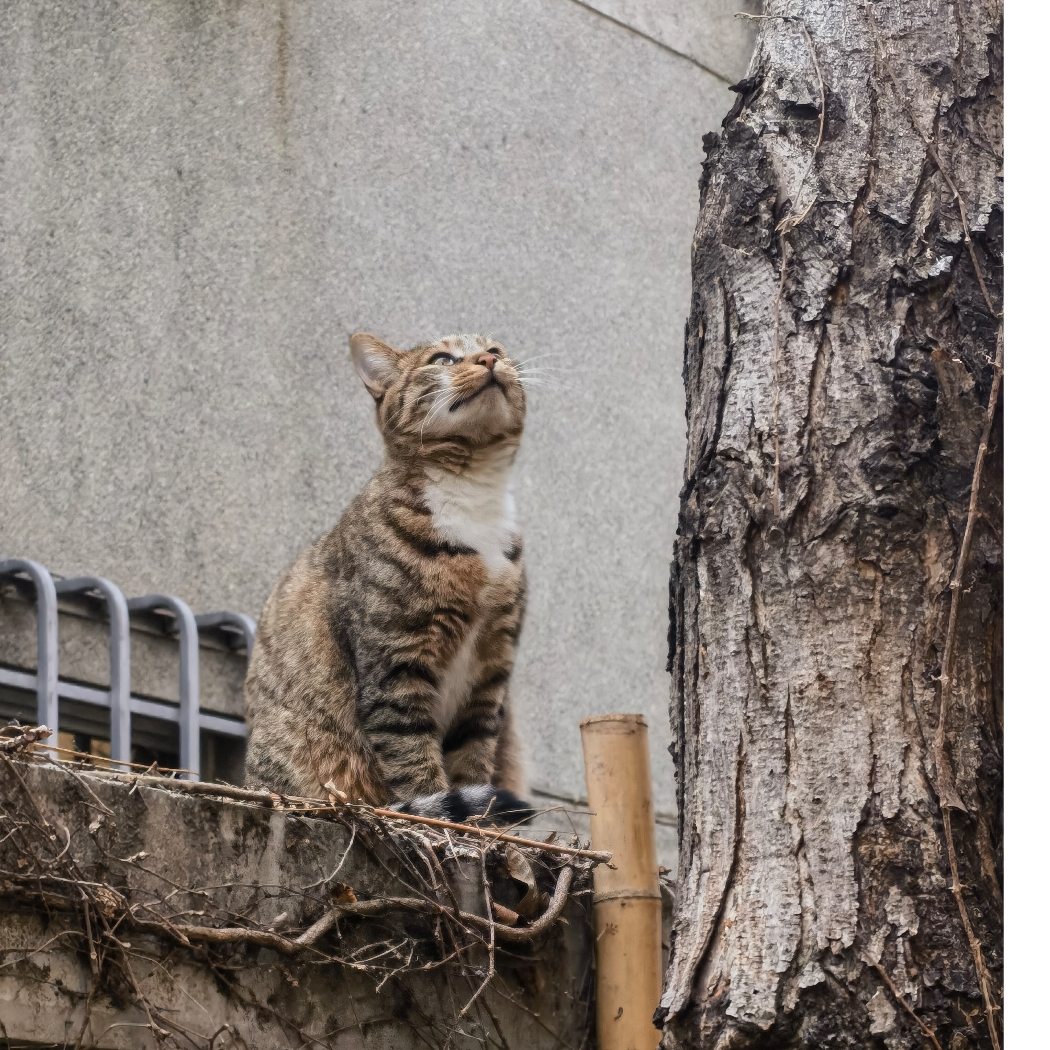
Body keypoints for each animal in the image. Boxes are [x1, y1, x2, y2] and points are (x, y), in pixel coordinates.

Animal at [241, 331, 529, 823]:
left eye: (496, 350)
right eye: (443, 358)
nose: (489, 360)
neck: (473, 496)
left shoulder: (492, 670)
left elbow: (474, 757)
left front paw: (483, 828)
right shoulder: (396, 662)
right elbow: (413, 757)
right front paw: (444, 821)